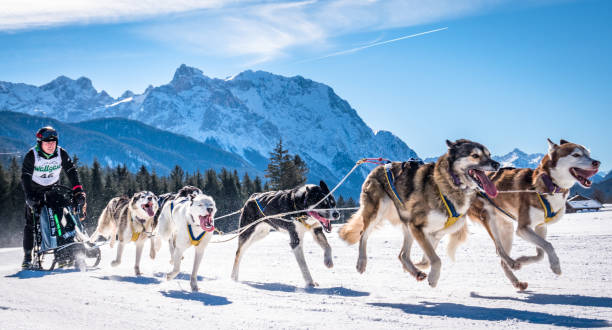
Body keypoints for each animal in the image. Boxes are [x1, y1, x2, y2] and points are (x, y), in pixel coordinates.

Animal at [338, 141, 500, 288]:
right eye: (475, 155)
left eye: (489, 154)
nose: (497, 165)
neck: (449, 184)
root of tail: (381, 166)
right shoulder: (417, 226)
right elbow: (436, 259)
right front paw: (433, 278)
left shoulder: (433, 234)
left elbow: (429, 259)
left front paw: (420, 266)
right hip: (378, 211)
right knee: (363, 235)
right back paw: (361, 262)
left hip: (407, 225)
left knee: (402, 255)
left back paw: (415, 271)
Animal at [466, 139, 600, 292]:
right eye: (576, 154)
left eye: (588, 154)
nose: (597, 162)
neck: (549, 185)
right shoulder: (523, 228)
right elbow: (548, 245)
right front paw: (555, 265)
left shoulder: (540, 226)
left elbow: (541, 254)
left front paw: (522, 259)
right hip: (488, 217)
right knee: (499, 250)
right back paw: (512, 264)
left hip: (507, 229)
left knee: (502, 260)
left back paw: (516, 279)